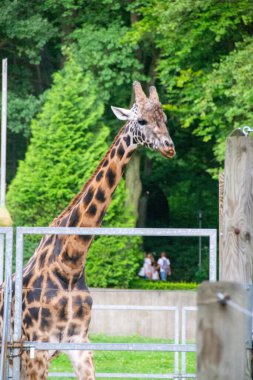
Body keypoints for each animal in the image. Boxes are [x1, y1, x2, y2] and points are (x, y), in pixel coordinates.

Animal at [0, 80, 175, 378]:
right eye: (141, 120)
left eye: (164, 118)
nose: (169, 147)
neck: (70, 263)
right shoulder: (36, 350)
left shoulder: (80, 343)